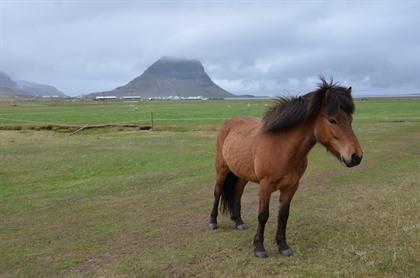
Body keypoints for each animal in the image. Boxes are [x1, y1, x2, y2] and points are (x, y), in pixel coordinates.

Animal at [208, 77, 362, 258]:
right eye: (332, 120)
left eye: (350, 120)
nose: (356, 156)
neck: (282, 148)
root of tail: (229, 123)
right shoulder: (265, 186)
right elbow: (263, 215)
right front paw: (259, 248)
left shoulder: (291, 187)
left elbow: (283, 216)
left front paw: (283, 246)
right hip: (222, 170)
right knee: (217, 192)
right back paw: (212, 222)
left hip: (242, 175)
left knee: (237, 194)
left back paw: (238, 222)